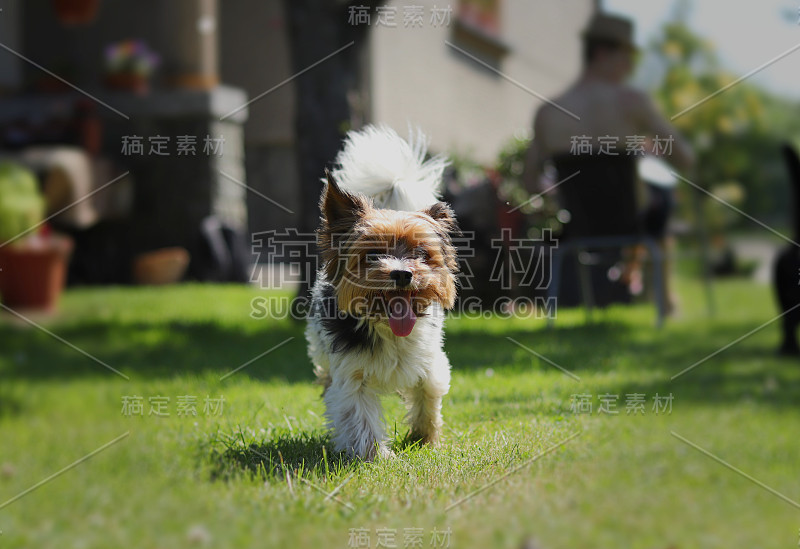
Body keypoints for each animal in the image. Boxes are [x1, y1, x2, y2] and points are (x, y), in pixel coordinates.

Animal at [306, 124, 460, 458]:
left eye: (420, 254)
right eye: (373, 254)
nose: (402, 273)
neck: (388, 327)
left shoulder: (430, 362)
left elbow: (428, 395)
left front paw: (425, 438)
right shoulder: (351, 375)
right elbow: (358, 415)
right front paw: (373, 457)